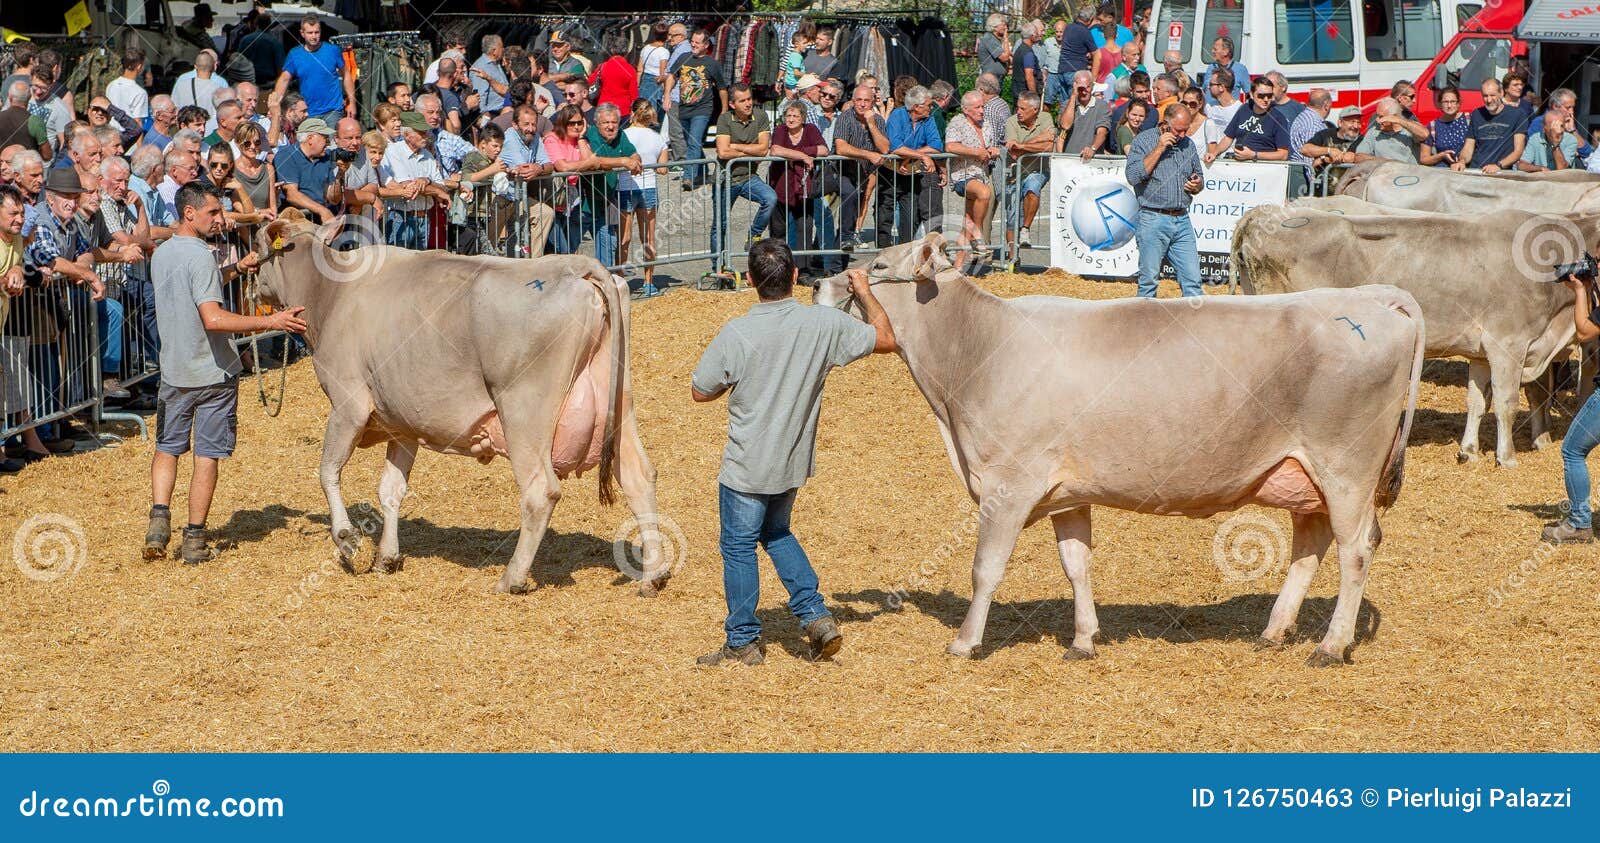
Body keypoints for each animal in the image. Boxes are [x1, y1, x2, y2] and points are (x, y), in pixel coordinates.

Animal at [251, 207, 675, 598]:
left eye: (257, 244)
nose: (250, 281)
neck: (330, 293)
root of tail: (576, 266)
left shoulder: (348, 404)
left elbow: (328, 471)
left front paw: (345, 539)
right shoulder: (403, 421)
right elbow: (390, 489)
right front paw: (387, 557)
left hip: (523, 410)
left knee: (540, 491)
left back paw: (511, 578)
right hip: (619, 402)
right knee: (638, 475)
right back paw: (652, 575)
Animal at [819, 231, 1420, 665]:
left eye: (878, 268)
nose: (824, 281)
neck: (977, 348)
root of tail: (1374, 297)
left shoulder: (1008, 484)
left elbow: (985, 567)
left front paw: (965, 642)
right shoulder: (1066, 491)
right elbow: (1076, 564)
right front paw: (1083, 640)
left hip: (1346, 467)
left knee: (1356, 548)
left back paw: (1331, 646)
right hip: (1301, 472)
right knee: (1310, 545)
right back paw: (1273, 632)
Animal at [1228, 202, 1593, 470]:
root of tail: (1262, 214)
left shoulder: (1481, 350)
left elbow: (1478, 400)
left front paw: (1469, 451)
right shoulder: (1508, 343)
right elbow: (1507, 402)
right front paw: (1507, 458)